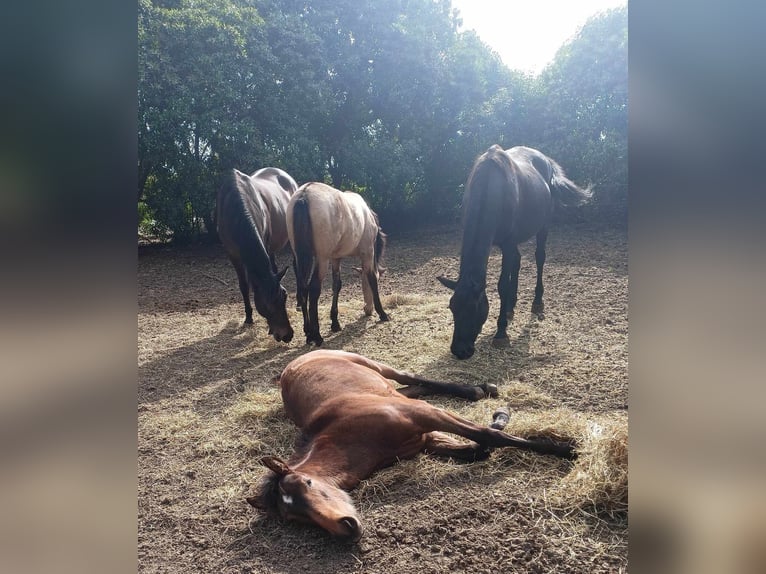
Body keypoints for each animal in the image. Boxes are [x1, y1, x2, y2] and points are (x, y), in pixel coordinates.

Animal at [219, 166, 300, 342]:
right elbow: (244, 286)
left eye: (284, 297)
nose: (287, 335)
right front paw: (249, 317)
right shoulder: (233, 255)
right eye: (267, 305)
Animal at [249, 348, 580, 544]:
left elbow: (487, 436)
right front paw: (501, 417)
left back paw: (478, 389)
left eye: (308, 483)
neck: (349, 432)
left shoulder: (425, 415)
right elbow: (479, 448)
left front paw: (567, 450)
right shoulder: (426, 441)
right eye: (295, 518)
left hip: (371, 363)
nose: (347, 528)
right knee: (409, 387)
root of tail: (294, 362)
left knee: (408, 377)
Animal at [286, 183, 390, 346]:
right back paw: (316, 335)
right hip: (322, 259)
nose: (368, 309)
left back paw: (308, 331)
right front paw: (382, 313)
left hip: (301, 257)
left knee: (302, 290)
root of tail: (304, 193)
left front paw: (335, 322)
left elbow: (337, 285)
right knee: (313, 290)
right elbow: (372, 279)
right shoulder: (368, 253)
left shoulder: (336, 258)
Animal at [438, 145, 592, 360]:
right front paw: (507, 312)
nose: (460, 351)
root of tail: (546, 161)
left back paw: (537, 302)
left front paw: (501, 333)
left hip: (543, 227)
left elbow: (502, 285)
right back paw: (511, 307)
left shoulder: (508, 243)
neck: (492, 188)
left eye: (474, 308)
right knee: (518, 261)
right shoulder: (507, 244)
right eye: (452, 307)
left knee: (539, 258)